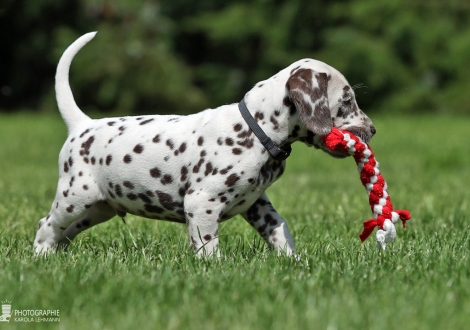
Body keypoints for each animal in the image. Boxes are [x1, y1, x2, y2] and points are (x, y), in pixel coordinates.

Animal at [34, 32, 374, 256]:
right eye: (347, 101)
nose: (372, 130)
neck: (255, 130)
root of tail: (83, 124)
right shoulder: (202, 205)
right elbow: (209, 248)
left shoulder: (258, 205)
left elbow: (281, 232)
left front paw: (294, 263)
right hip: (75, 198)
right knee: (46, 224)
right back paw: (40, 257)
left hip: (97, 209)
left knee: (64, 233)